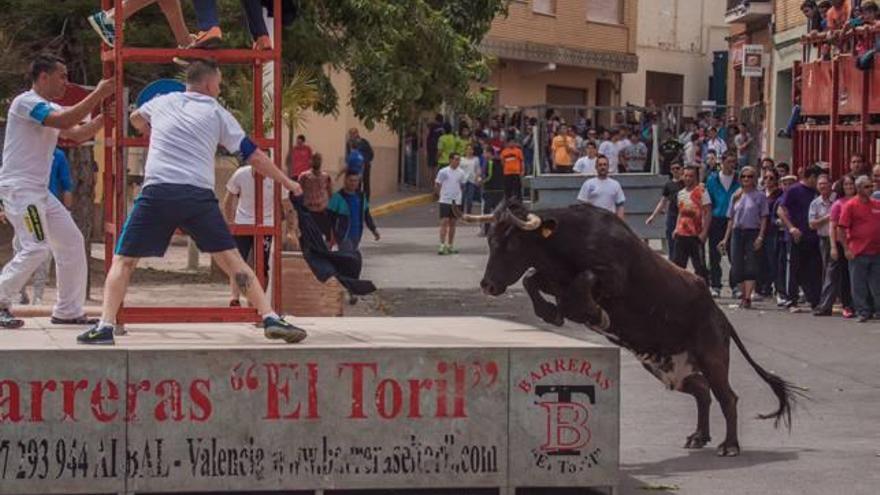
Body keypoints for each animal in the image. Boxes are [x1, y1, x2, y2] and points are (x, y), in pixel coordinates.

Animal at [464, 201, 808, 458]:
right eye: (490, 240)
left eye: (511, 242)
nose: (488, 284)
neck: (568, 240)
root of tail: (718, 313)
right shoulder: (552, 278)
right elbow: (532, 280)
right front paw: (553, 312)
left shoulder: (611, 276)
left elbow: (581, 281)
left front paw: (594, 313)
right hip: (671, 369)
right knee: (702, 392)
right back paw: (699, 436)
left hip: (713, 357)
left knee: (728, 398)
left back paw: (730, 446)